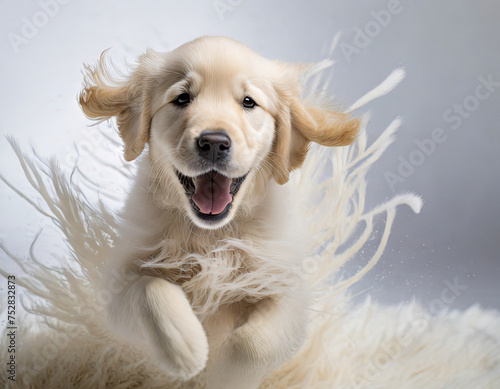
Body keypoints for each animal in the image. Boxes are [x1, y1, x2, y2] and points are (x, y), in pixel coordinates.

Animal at [78, 35, 358, 384]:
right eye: (182, 98)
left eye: (249, 102)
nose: (213, 142)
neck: (210, 235)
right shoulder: (118, 286)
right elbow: (150, 289)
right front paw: (188, 348)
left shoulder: (286, 287)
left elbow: (253, 344)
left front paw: (220, 377)